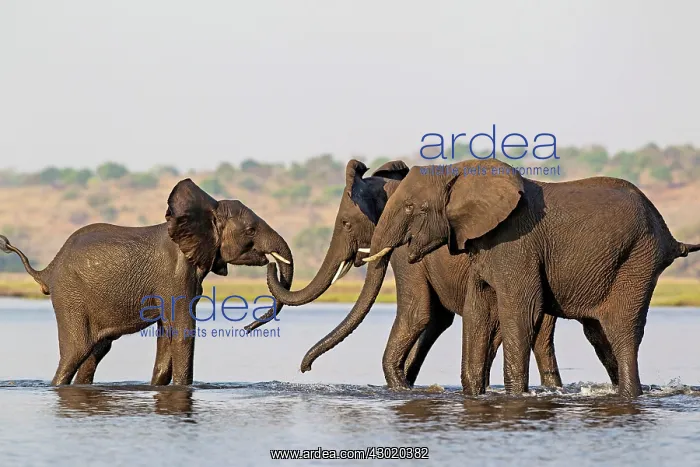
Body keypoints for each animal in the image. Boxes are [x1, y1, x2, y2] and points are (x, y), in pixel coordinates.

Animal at [0, 178, 293, 386]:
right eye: (251, 230)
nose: (247, 328)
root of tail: (47, 270)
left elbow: (167, 334)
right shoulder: (175, 276)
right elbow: (183, 330)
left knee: (95, 352)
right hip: (70, 297)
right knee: (75, 352)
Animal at [252, 159, 563, 390]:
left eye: (346, 223)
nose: (305, 368)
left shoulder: (406, 251)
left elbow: (418, 314)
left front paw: (400, 387)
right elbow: (436, 320)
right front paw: (408, 384)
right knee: (541, 338)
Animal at [363, 158, 700, 398]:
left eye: (412, 207)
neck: (459, 172)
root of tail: (670, 236)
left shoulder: (516, 244)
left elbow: (520, 312)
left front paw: (514, 396)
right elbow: (478, 312)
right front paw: (475, 395)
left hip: (637, 259)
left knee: (622, 330)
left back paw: (630, 395)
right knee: (599, 336)